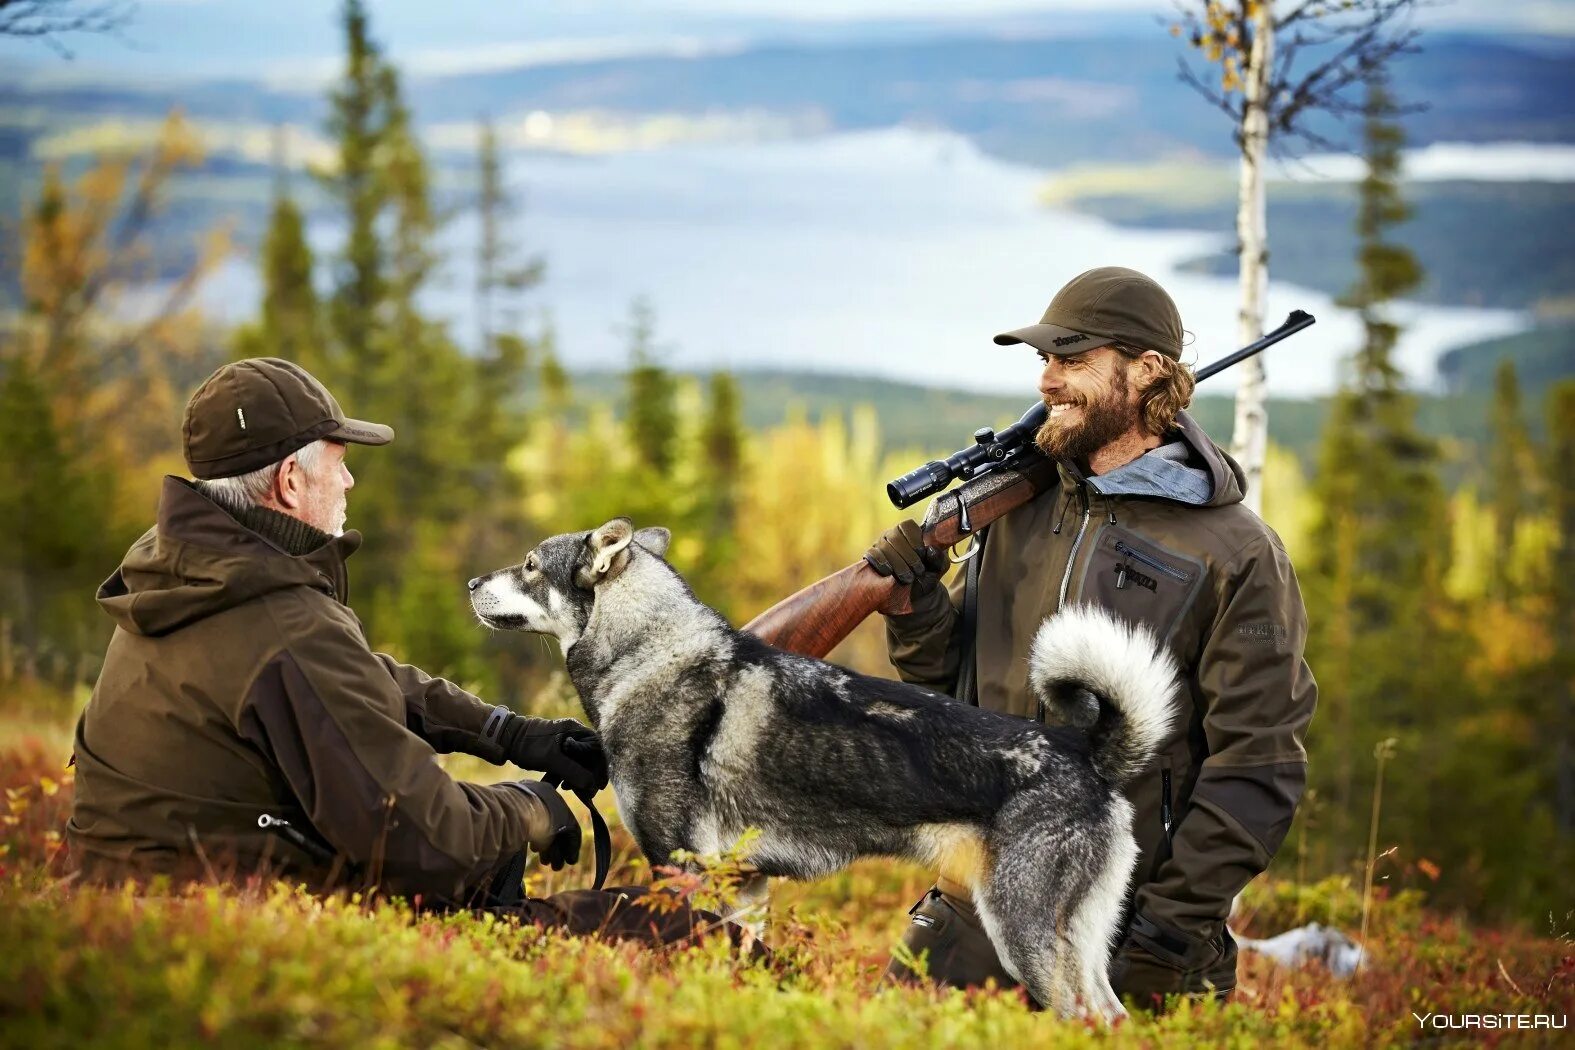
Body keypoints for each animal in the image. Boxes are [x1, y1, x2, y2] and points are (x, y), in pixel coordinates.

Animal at [472, 516, 1178, 1020]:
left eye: (531, 564)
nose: (473, 584)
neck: (649, 651)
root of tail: (1087, 753)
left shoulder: (682, 869)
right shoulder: (743, 887)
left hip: (1025, 934)